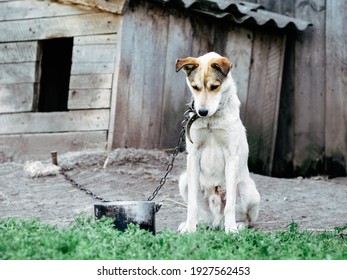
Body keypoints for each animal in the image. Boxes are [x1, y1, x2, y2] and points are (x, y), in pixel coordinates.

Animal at [177, 52, 260, 232]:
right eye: (195, 87)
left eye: (214, 86)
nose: (202, 112)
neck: (211, 121)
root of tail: (216, 220)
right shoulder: (193, 155)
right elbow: (192, 204)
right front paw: (189, 228)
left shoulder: (231, 157)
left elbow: (230, 204)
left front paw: (231, 229)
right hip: (184, 180)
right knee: (205, 217)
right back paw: (196, 223)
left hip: (247, 189)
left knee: (246, 218)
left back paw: (237, 225)